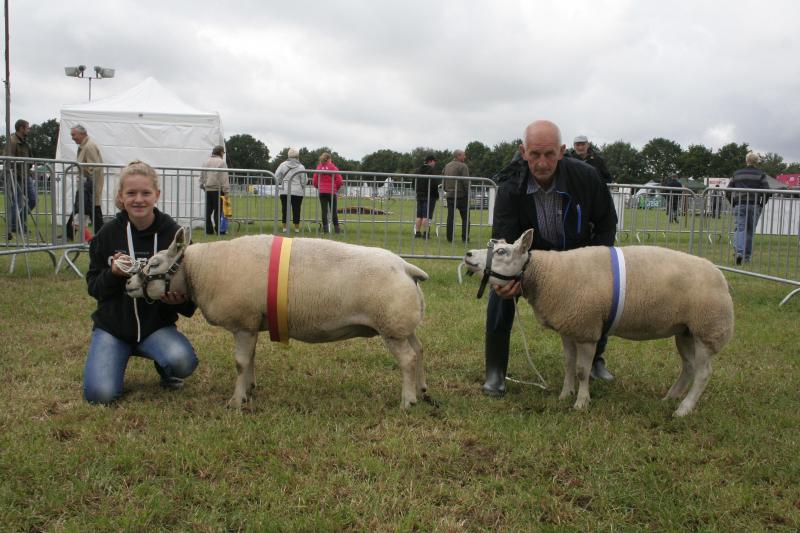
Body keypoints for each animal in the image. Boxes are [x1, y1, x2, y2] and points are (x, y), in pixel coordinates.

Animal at [124, 228, 428, 408]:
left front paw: (236, 401)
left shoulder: (243, 323)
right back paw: (422, 390)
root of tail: (406, 267)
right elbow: (250, 359)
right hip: (403, 325)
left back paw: (408, 401)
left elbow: (240, 362)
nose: (128, 284)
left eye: (154, 264)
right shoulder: (251, 323)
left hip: (391, 325)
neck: (200, 269)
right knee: (418, 351)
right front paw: (249, 389)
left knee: (408, 360)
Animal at [466, 229, 736, 416]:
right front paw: (565, 394)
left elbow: (582, 370)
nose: (468, 254)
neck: (546, 274)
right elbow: (568, 364)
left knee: (703, 373)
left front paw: (581, 402)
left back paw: (683, 409)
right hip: (686, 331)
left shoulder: (587, 329)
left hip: (708, 330)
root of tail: (721, 277)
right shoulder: (569, 327)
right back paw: (670, 398)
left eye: (502, 252)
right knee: (689, 367)